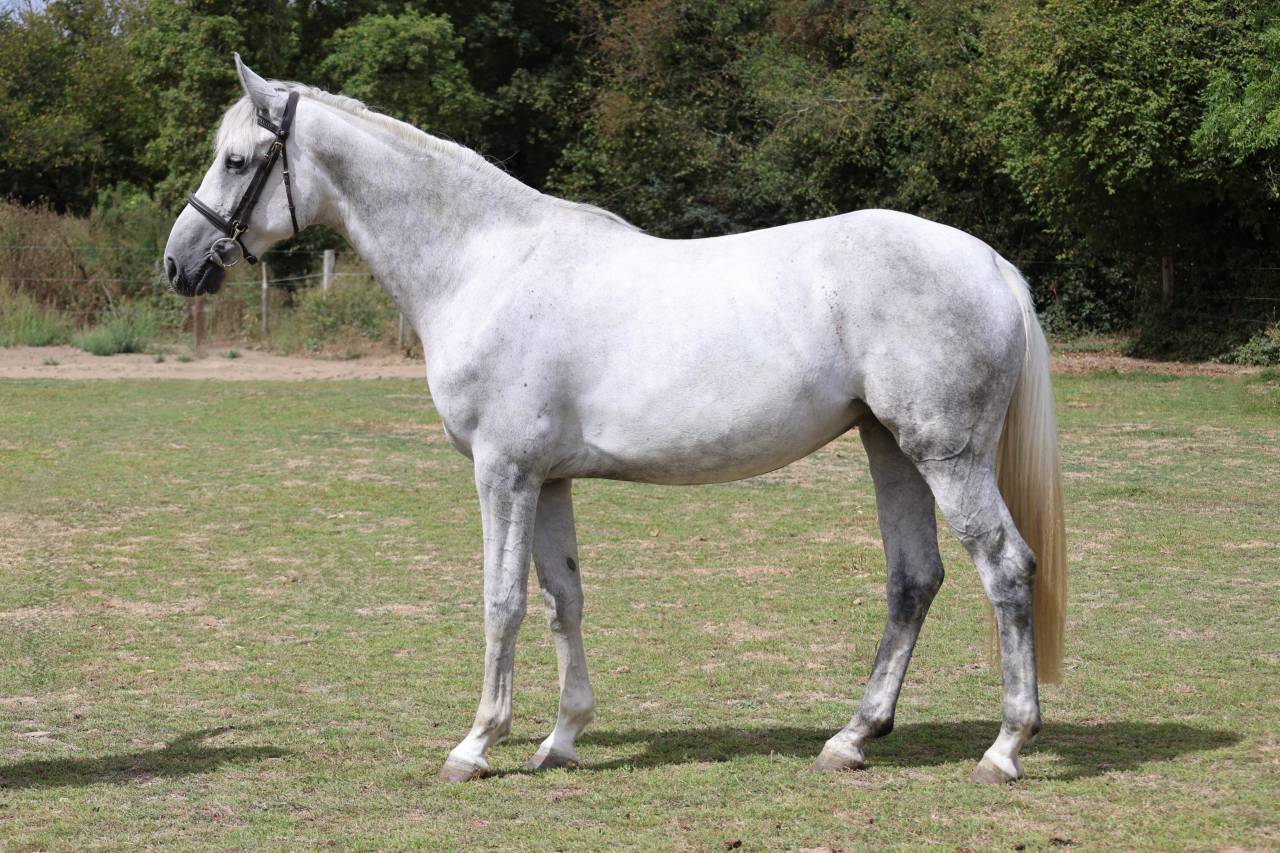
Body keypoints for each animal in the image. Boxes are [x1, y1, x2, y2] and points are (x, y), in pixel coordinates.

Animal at [164, 56, 1066, 786]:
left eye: (237, 159)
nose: (178, 263)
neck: (485, 262)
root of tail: (989, 261)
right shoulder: (550, 477)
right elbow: (563, 596)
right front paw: (561, 739)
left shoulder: (503, 470)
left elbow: (502, 601)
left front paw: (475, 744)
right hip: (892, 449)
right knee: (913, 580)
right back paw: (851, 737)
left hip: (947, 456)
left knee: (1006, 569)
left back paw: (1004, 748)